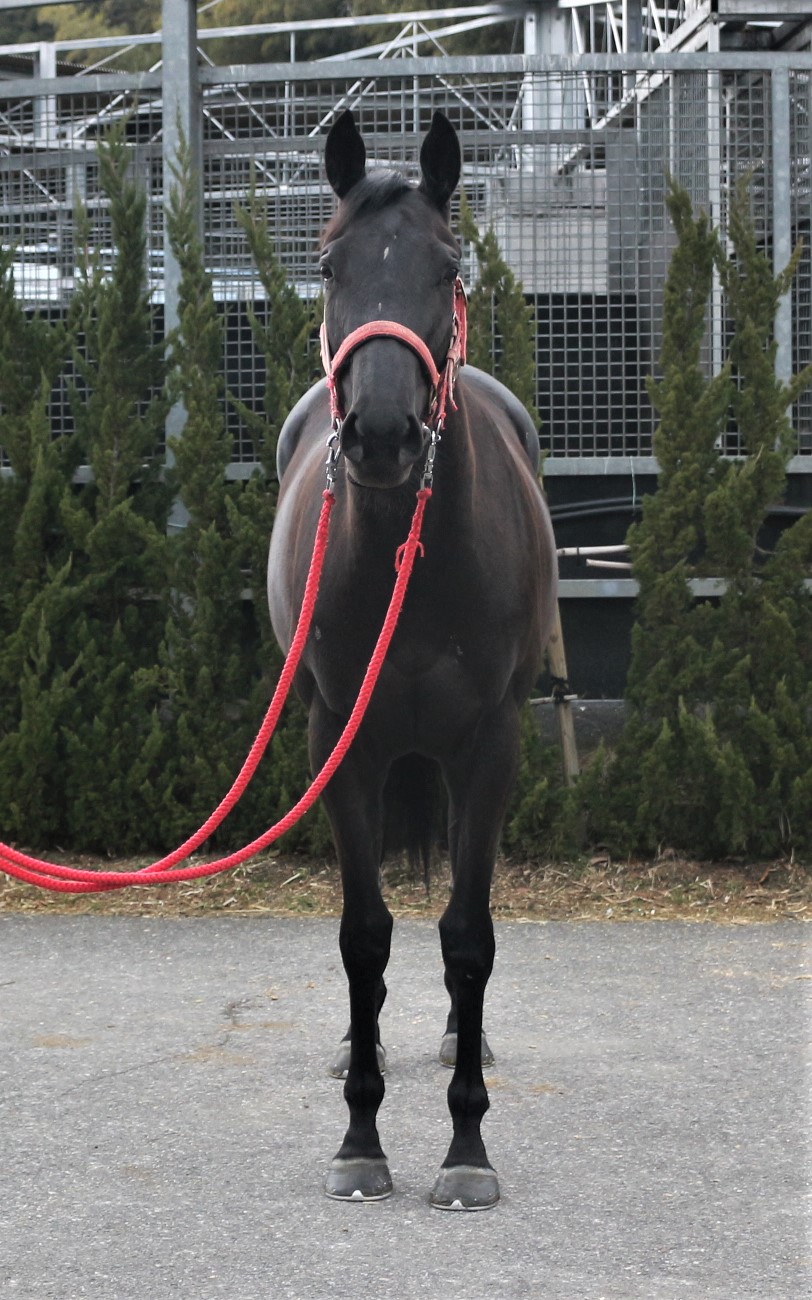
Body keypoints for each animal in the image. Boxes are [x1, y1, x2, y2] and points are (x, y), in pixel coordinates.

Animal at [267, 109, 558, 1210]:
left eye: (447, 267)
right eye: (329, 265)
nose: (384, 433)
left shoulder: (489, 747)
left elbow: (466, 935)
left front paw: (466, 1148)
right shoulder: (337, 742)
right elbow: (365, 933)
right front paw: (361, 1135)